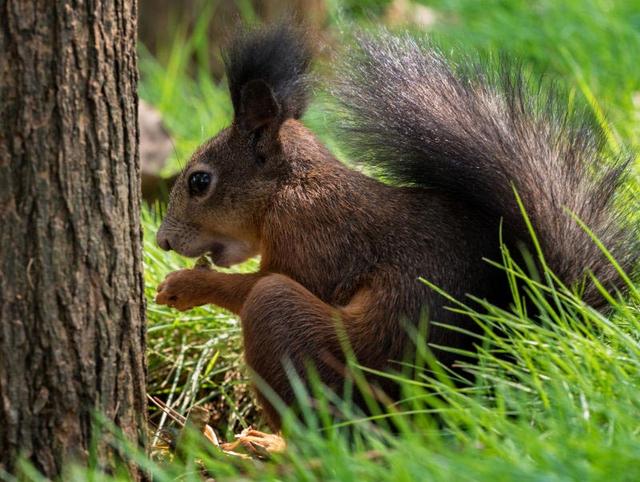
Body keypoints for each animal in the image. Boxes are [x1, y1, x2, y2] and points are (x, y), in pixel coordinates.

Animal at [154, 22, 636, 430]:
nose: (162, 241)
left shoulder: (314, 235)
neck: (289, 187)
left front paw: (185, 285)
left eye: (200, 182)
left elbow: (264, 282)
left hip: (311, 346)